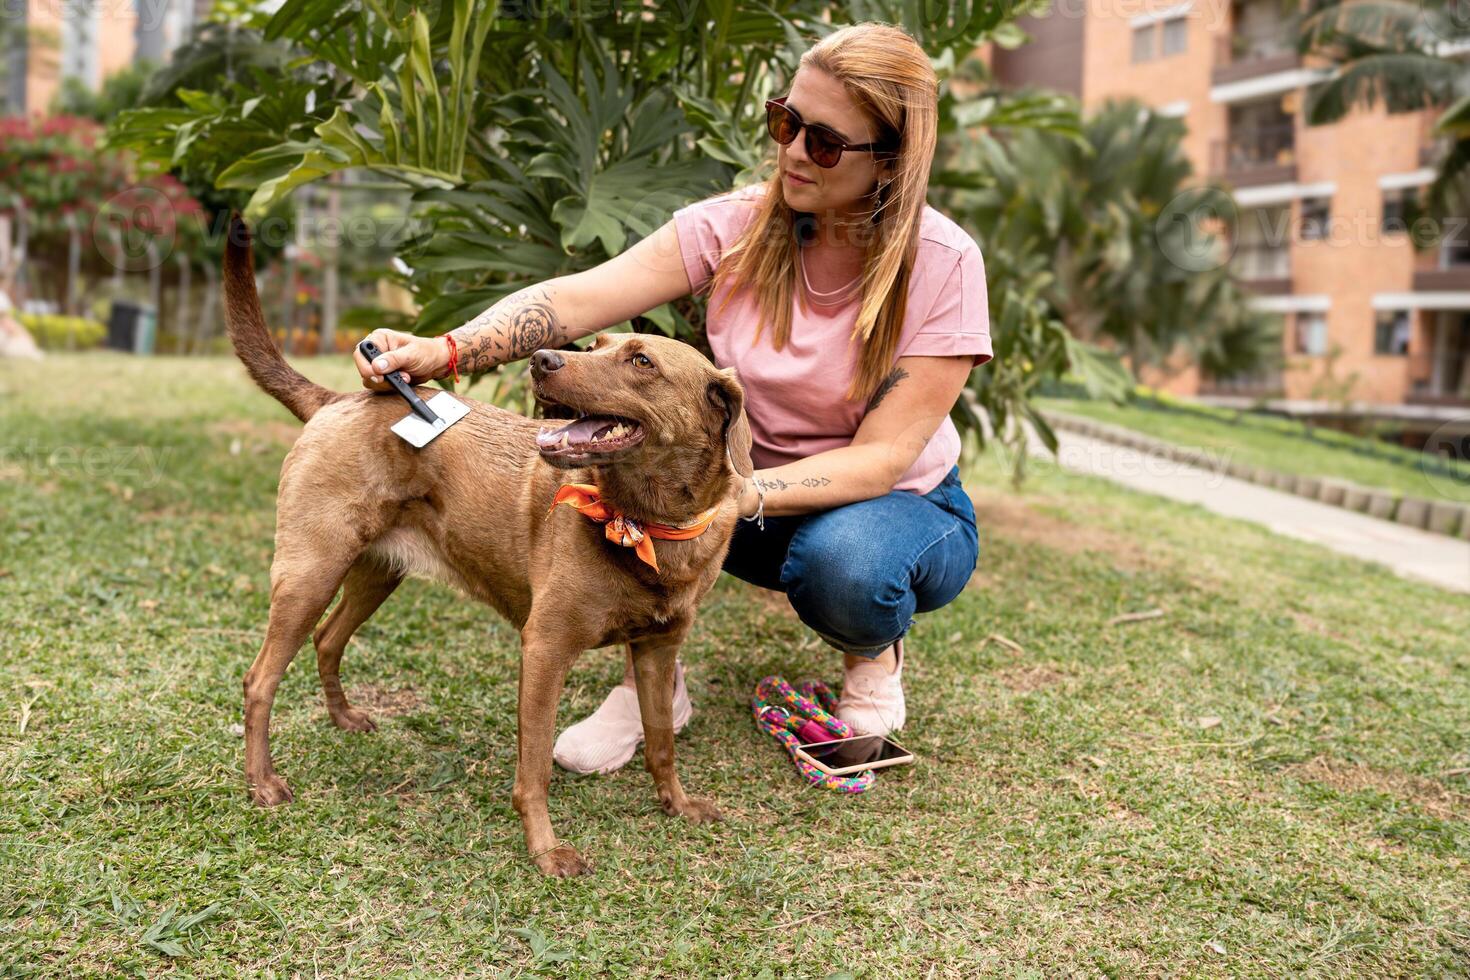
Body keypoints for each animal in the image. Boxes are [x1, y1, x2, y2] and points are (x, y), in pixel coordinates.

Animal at [223, 220, 752, 875]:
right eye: (596, 344)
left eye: (640, 360)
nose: (543, 358)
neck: (646, 524)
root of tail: (343, 399)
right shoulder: (545, 648)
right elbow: (535, 769)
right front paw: (546, 850)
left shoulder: (659, 648)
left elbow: (661, 743)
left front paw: (676, 805)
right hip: (311, 571)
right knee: (260, 680)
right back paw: (263, 783)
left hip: (376, 572)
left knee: (327, 639)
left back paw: (343, 718)